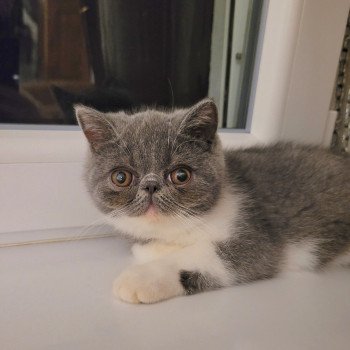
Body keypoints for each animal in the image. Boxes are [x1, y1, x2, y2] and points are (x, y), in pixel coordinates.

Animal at [76, 98, 350, 304]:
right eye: (121, 177)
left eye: (181, 175)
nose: (151, 185)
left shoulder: (256, 234)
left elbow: (210, 254)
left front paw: (141, 277)